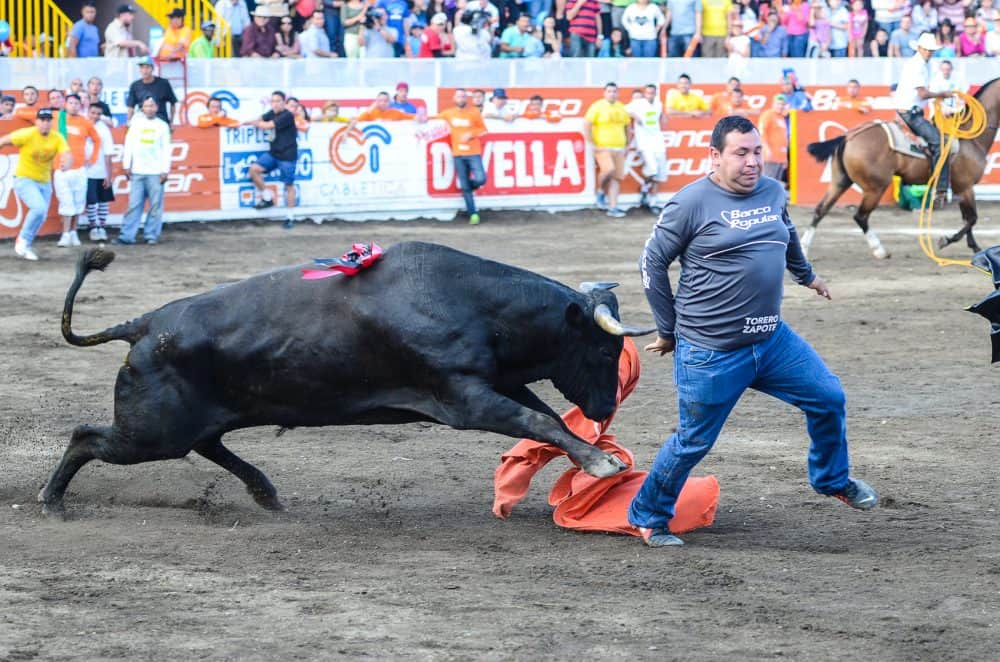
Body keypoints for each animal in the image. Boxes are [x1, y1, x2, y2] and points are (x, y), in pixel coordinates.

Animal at [43, 241, 656, 516]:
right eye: (606, 349)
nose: (606, 409)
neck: (472, 301)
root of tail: (146, 324)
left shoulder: (494, 383)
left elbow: (546, 417)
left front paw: (595, 455)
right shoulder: (465, 399)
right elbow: (537, 418)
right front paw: (600, 462)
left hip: (187, 423)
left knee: (210, 445)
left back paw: (265, 492)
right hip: (150, 432)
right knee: (86, 437)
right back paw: (52, 501)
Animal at [804, 79, 1000, 260]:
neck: (970, 138)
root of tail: (848, 137)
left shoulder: (962, 188)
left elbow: (968, 218)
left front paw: (974, 247)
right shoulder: (965, 187)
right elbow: (972, 218)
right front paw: (947, 240)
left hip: (840, 181)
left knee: (821, 210)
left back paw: (804, 247)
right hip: (875, 188)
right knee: (860, 216)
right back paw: (880, 250)